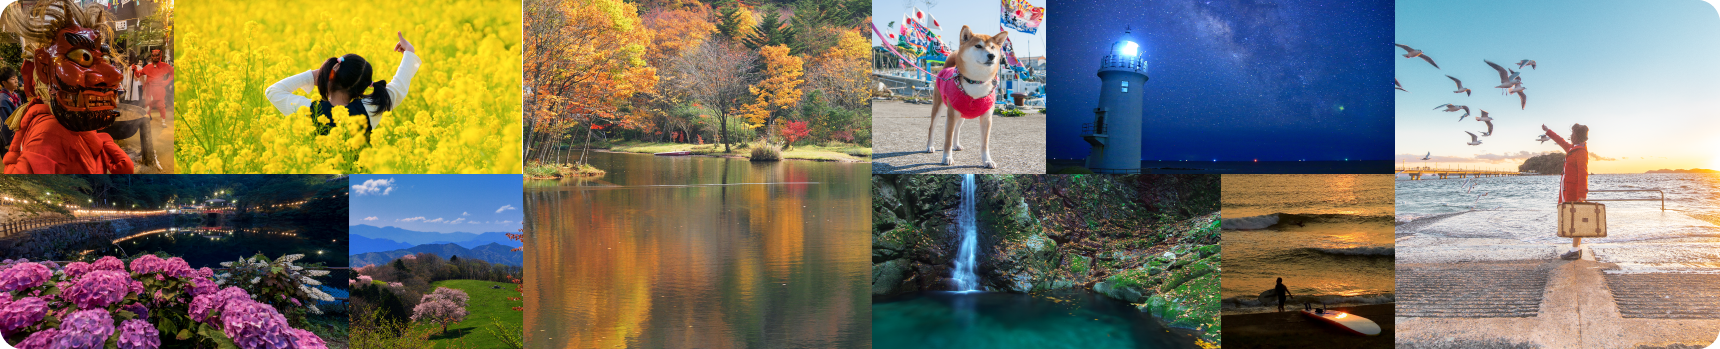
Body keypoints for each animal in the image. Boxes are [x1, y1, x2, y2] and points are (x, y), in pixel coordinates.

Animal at [928, 24, 1004, 169]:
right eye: (978, 46)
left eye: (992, 47)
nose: (992, 55)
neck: (976, 82)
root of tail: (946, 68)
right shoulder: (951, 116)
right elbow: (947, 140)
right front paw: (947, 157)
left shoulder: (987, 118)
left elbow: (985, 144)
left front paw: (987, 160)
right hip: (939, 108)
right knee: (932, 127)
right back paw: (930, 146)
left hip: (962, 114)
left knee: (957, 129)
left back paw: (956, 145)